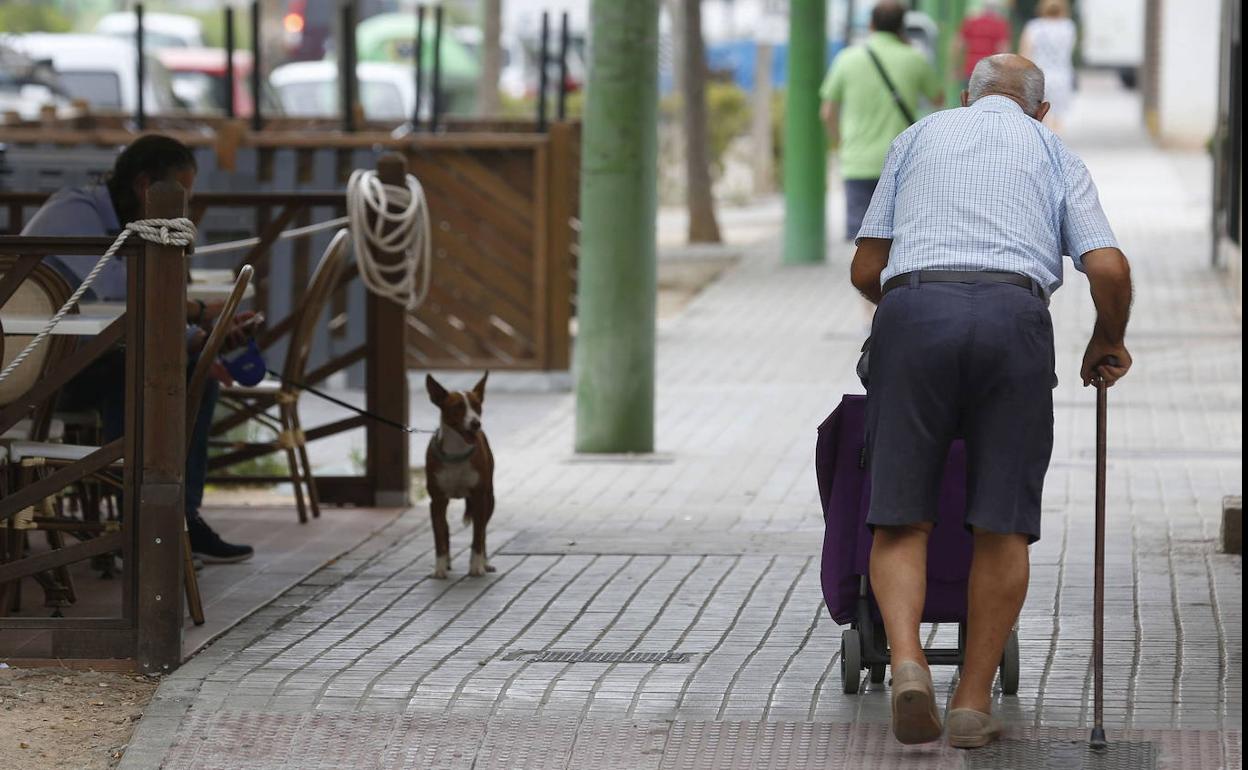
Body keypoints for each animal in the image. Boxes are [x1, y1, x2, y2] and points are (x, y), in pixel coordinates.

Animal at [424, 371, 491, 576]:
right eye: (457, 407)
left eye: (477, 406)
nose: (476, 423)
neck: (456, 454)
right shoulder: (437, 500)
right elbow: (439, 536)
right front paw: (439, 568)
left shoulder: (479, 497)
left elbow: (478, 536)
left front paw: (476, 566)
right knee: (445, 530)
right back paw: (446, 562)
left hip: (490, 499)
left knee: (483, 531)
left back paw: (485, 562)